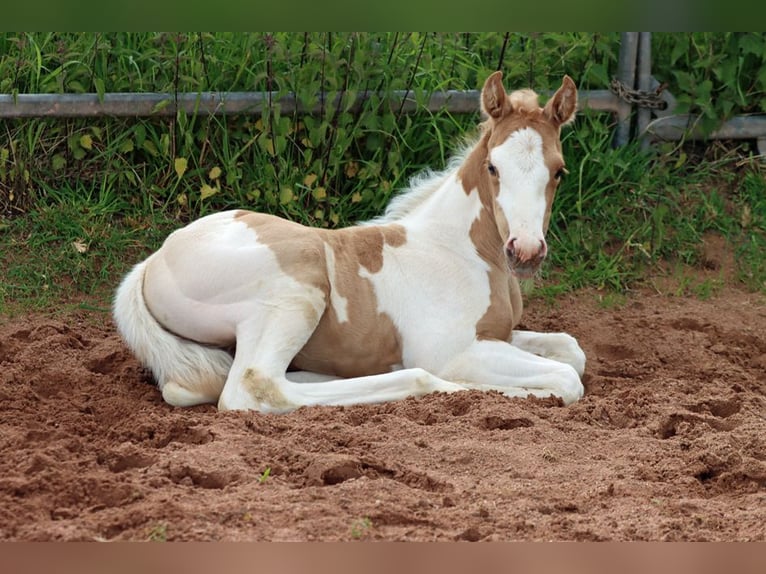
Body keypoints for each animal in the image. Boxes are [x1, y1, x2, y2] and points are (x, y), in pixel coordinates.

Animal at [113, 71, 586, 413]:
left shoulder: (498, 336)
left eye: (559, 171)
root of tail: (154, 261)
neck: (460, 251)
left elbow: (572, 352)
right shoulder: (453, 351)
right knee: (254, 387)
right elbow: (567, 379)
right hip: (296, 287)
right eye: (493, 166)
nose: (525, 251)